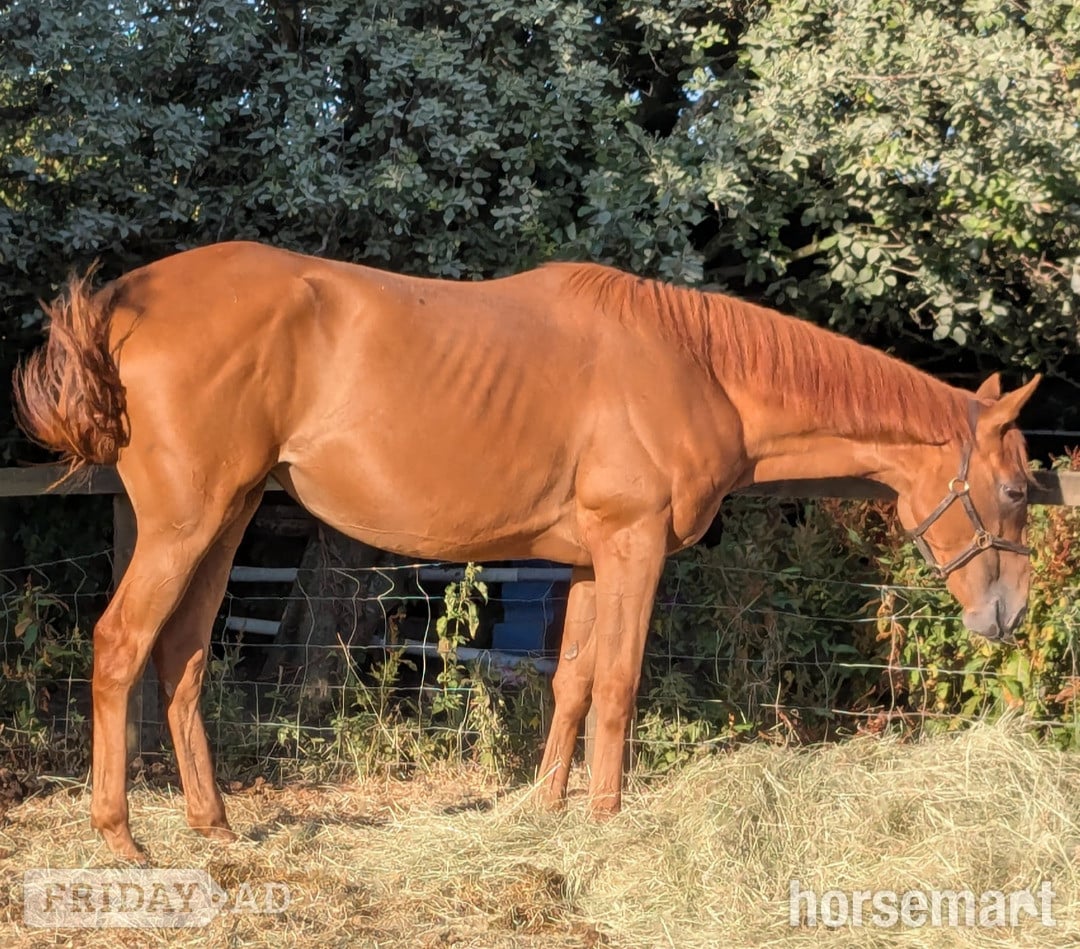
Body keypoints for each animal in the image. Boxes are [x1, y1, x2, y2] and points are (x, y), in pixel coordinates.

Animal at [13, 241, 1039, 862]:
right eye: (1020, 489)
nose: (1009, 615)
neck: (698, 368)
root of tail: (125, 303)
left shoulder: (589, 560)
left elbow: (574, 682)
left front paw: (548, 811)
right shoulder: (634, 547)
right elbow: (619, 684)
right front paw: (608, 818)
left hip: (222, 522)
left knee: (182, 657)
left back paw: (213, 823)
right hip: (185, 526)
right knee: (119, 647)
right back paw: (119, 835)